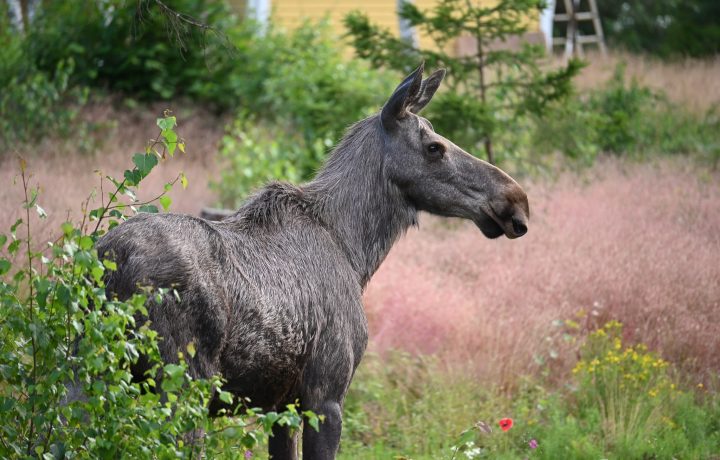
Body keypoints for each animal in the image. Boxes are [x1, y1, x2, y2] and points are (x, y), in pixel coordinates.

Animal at [97, 64, 528, 460]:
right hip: (182, 385)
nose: (516, 201)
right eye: (434, 147)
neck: (356, 252)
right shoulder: (326, 397)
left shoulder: (280, 408)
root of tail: (110, 263)